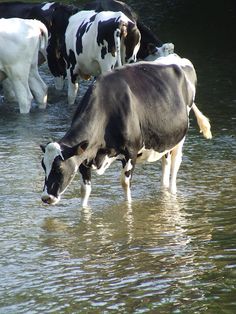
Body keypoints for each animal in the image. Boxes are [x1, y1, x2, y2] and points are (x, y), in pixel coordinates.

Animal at [40, 53, 212, 207]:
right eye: (43, 166)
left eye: (59, 168)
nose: (46, 197)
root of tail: (179, 59)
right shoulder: (85, 157)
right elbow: (85, 190)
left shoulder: (131, 152)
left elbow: (125, 183)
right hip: (165, 140)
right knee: (165, 163)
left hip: (180, 139)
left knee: (175, 165)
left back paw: (172, 190)